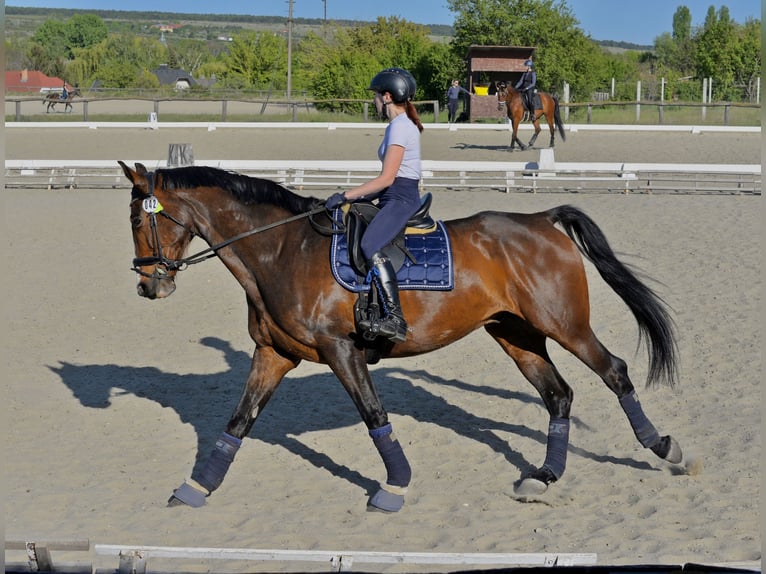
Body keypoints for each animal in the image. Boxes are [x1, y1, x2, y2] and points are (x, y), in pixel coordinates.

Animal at [118, 161, 683, 512]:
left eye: (137, 221)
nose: (149, 285)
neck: (280, 251)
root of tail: (540, 219)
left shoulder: (341, 350)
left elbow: (375, 416)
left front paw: (395, 487)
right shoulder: (273, 354)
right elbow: (238, 421)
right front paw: (196, 488)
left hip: (564, 325)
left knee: (614, 372)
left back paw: (664, 447)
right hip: (516, 334)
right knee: (558, 395)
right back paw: (543, 475)